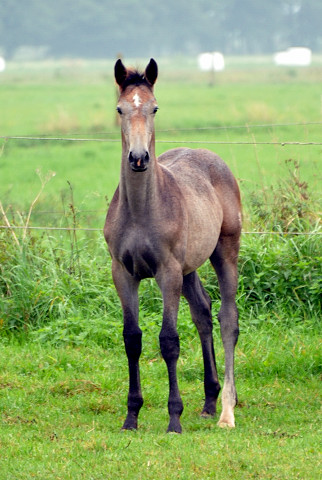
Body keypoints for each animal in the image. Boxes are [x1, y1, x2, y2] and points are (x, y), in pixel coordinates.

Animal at [104, 58, 242, 434]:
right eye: (120, 109)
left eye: (154, 107)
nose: (138, 158)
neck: (141, 211)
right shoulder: (123, 273)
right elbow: (132, 338)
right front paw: (131, 416)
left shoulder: (167, 273)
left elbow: (168, 341)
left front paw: (174, 418)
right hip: (190, 267)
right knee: (203, 312)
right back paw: (209, 400)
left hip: (225, 251)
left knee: (227, 319)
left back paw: (227, 410)